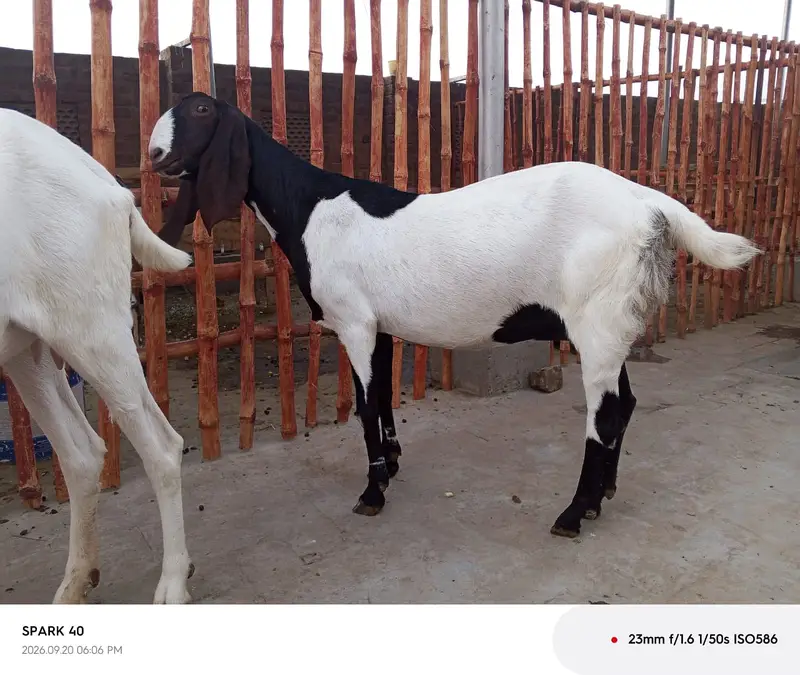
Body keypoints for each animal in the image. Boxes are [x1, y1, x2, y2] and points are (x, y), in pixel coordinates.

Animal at [0, 108, 195, 603]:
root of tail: (106, 182)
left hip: (91, 327)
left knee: (161, 446)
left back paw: (172, 583)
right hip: (25, 342)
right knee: (82, 454)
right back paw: (75, 584)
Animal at [149, 92, 759, 538]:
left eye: (201, 110)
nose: (154, 157)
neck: (309, 206)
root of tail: (651, 204)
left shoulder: (354, 322)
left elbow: (365, 407)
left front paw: (372, 493)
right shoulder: (380, 326)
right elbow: (383, 399)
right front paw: (393, 464)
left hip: (597, 319)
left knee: (605, 415)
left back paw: (572, 514)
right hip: (612, 323)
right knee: (625, 404)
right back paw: (600, 497)